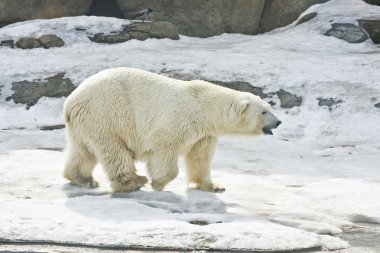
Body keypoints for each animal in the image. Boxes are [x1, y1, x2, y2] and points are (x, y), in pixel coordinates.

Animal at [63, 67, 280, 192]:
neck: (205, 106)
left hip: (86, 123)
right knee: (115, 151)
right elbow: (163, 148)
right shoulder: (179, 119)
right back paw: (134, 182)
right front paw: (158, 183)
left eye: (269, 108)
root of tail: (71, 100)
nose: (278, 122)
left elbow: (200, 157)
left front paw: (214, 186)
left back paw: (83, 179)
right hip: (107, 115)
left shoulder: (204, 134)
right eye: (264, 111)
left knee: (83, 151)